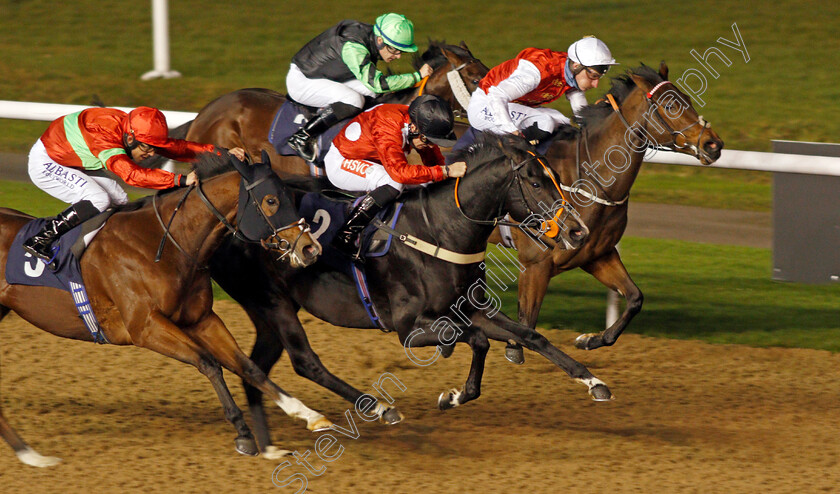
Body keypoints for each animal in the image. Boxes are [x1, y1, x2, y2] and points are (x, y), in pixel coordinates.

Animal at [0, 152, 326, 466]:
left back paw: (30, 455)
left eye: (290, 195)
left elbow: (248, 367)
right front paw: (244, 433)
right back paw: (31, 455)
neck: (165, 244)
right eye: (271, 201)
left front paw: (308, 414)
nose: (310, 249)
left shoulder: (202, 320)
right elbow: (209, 363)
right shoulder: (145, 328)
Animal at [208, 133, 604, 458]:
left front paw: (593, 382)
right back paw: (377, 408)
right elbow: (477, 341)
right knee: (305, 361)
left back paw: (266, 445)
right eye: (535, 182)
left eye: (556, 179)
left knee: (256, 367)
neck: (440, 230)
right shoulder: (408, 328)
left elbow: (531, 336)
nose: (577, 230)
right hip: (272, 302)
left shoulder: (469, 307)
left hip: (270, 309)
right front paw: (453, 395)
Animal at [488, 62, 724, 358]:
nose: (714, 145)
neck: (587, 180)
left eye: (689, 100)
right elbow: (525, 327)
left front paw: (590, 339)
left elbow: (635, 298)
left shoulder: (598, 255)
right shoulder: (535, 264)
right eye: (671, 105)